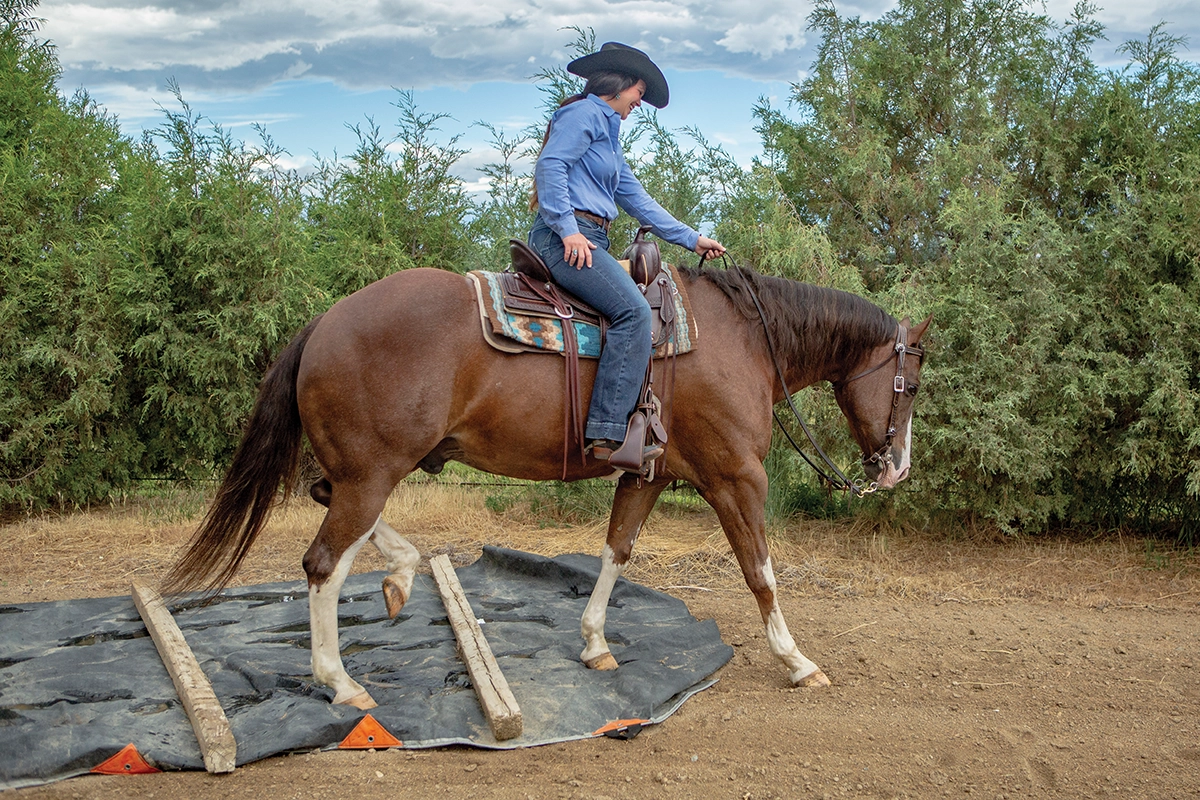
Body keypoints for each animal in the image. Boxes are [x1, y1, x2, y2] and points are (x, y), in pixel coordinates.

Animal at [164, 264, 930, 710]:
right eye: (913, 384)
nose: (895, 468)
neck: (740, 338)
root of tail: (325, 320)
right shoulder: (735, 477)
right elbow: (760, 571)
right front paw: (796, 661)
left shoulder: (649, 476)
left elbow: (616, 552)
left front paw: (593, 643)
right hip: (373, 473)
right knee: (323, 563)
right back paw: (341, 681)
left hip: (363, 472)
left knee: (331, 515)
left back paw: (402, 577)